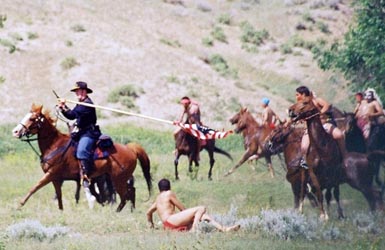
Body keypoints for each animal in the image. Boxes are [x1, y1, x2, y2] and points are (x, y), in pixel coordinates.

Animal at [10, 103, 152, 211]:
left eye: (32, 118)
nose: (15, 132)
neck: (54, 145)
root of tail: (130, 149)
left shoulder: (51, 174)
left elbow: (34, 187)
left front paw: (19, 205)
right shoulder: (56, 178)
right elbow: (59, 195)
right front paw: (61, 211)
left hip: (118, 179)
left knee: (124, 195)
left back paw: (116, 211)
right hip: (118, 179)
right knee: (131, 191)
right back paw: (131, 210)